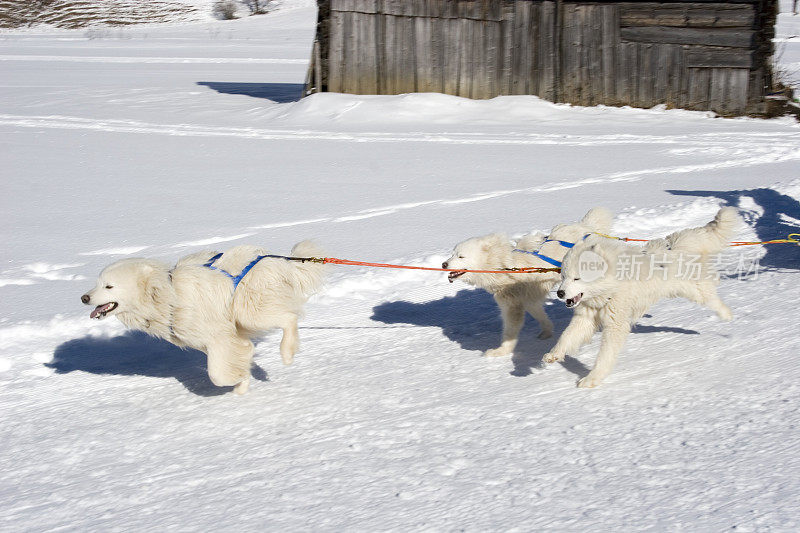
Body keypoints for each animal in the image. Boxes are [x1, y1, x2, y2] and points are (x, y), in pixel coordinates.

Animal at [82, 241, 328, 394]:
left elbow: (218, 374)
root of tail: (274, 260)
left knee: (289, 318)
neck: (168, 295)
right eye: (97, 283)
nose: (84, 297)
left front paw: (238, 379)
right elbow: (238, 354)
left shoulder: (219, 335)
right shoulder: (212, 340)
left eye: (109, 286)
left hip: (249, 311)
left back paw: (287, 353)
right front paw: (242, 381)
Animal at [444, 208, 612, 358]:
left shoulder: (513, 307)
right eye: (452, 254)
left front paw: (500, 351)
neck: (503, 266)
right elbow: (541, 316)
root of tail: (587, 227)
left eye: (461, 256)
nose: (444, 264)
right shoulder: (528, 299)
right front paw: (547, 331)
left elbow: (509, 333)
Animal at [544, 207, 736, 386]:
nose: (560, 293)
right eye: (563, 276)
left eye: (577, 278)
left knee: (711, 295)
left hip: (693, 289)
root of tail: (676, 244)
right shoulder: (586, 318)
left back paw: (726, 314)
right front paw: (554, 354)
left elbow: (605, 356)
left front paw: (592, 378)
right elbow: (567, 337)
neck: (610, 288)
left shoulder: (616, 325)